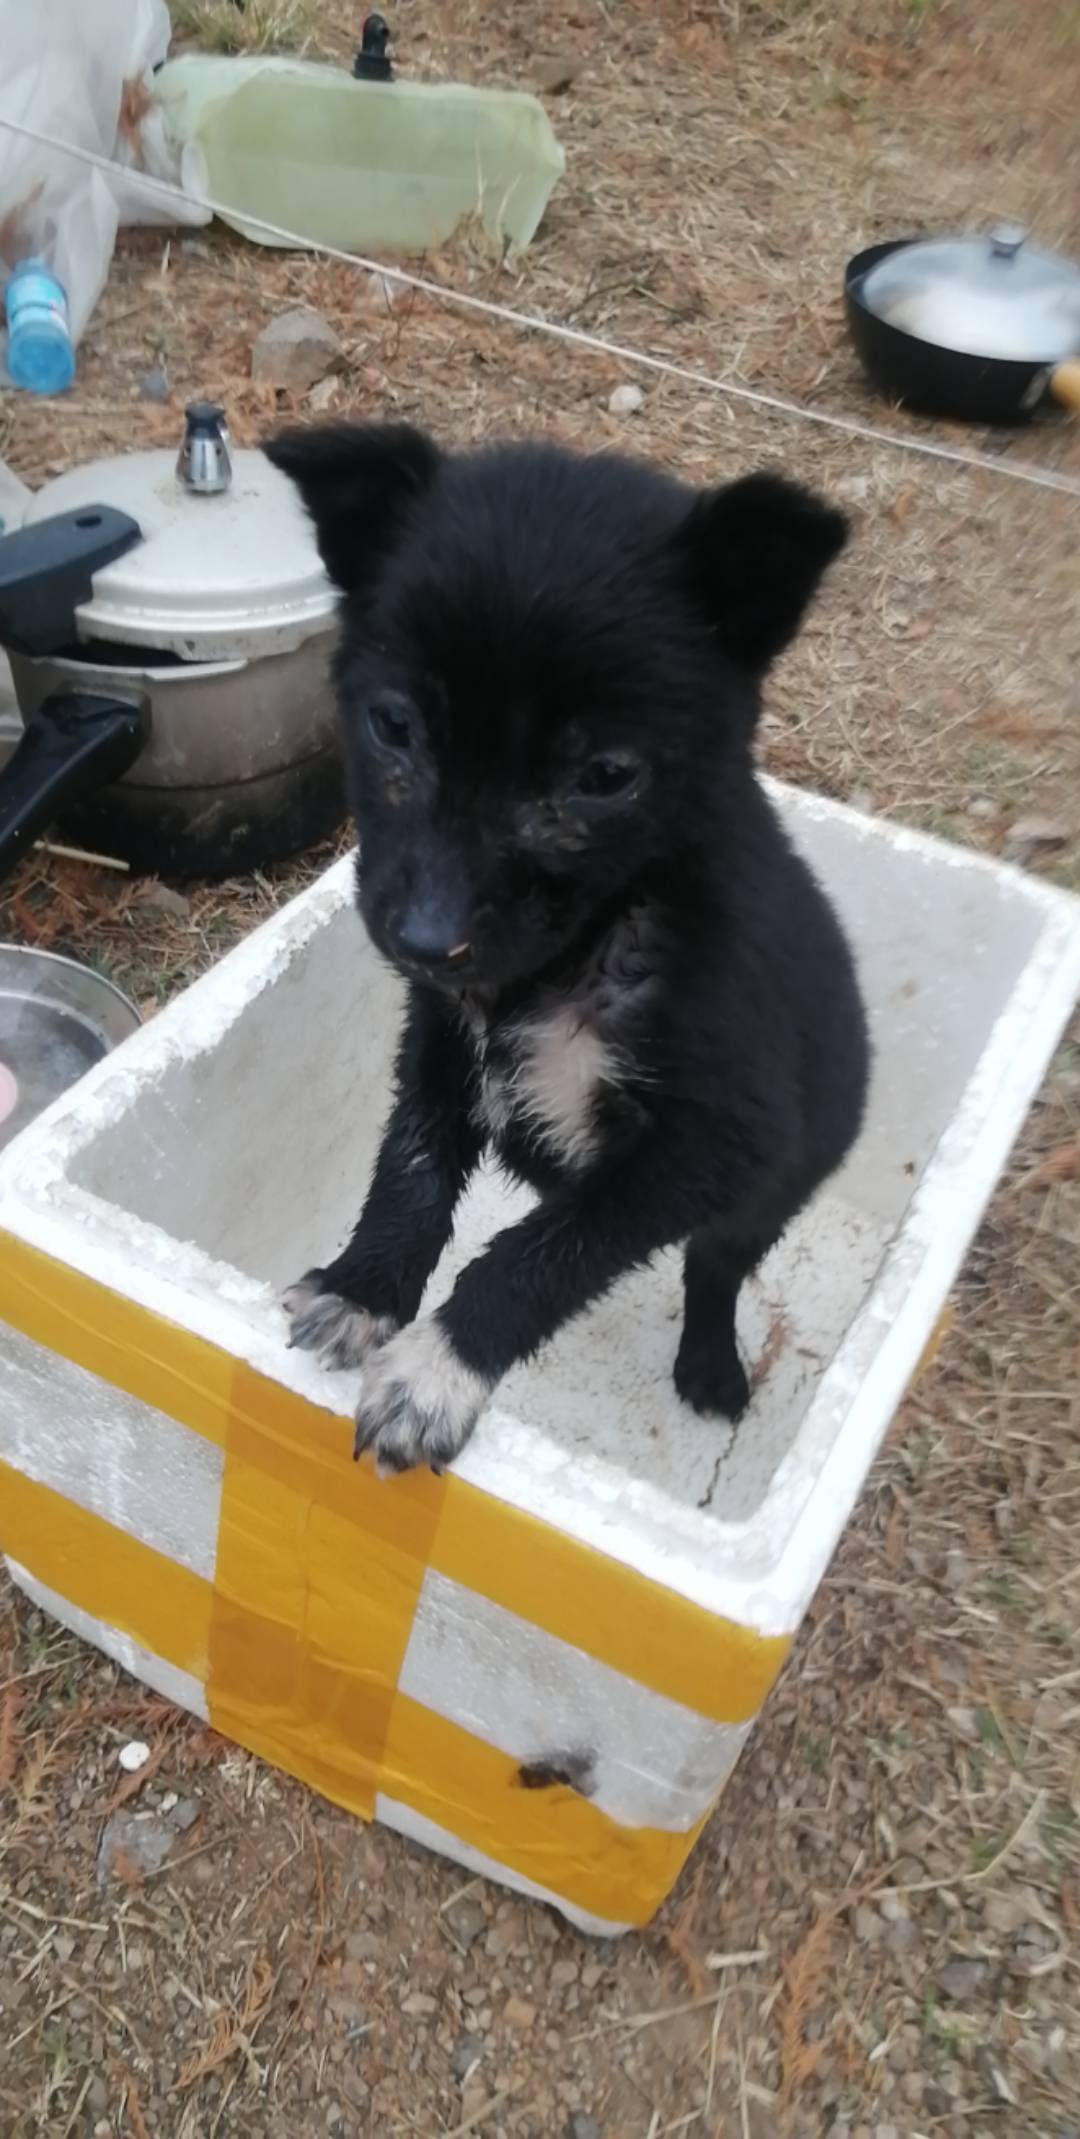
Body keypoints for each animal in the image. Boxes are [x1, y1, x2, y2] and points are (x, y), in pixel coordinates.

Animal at [267, 425, 868, 1480]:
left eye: (604, 776)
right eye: (393, 724)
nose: (425, 940)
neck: (571, 954)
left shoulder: (711, 1141)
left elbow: (544, 1251)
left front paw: (436, 1373)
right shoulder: (438, 1048)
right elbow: (410, 1170)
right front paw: (364, 1288)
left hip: (778, 1185)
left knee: (714, 1270)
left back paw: (710, 1366)